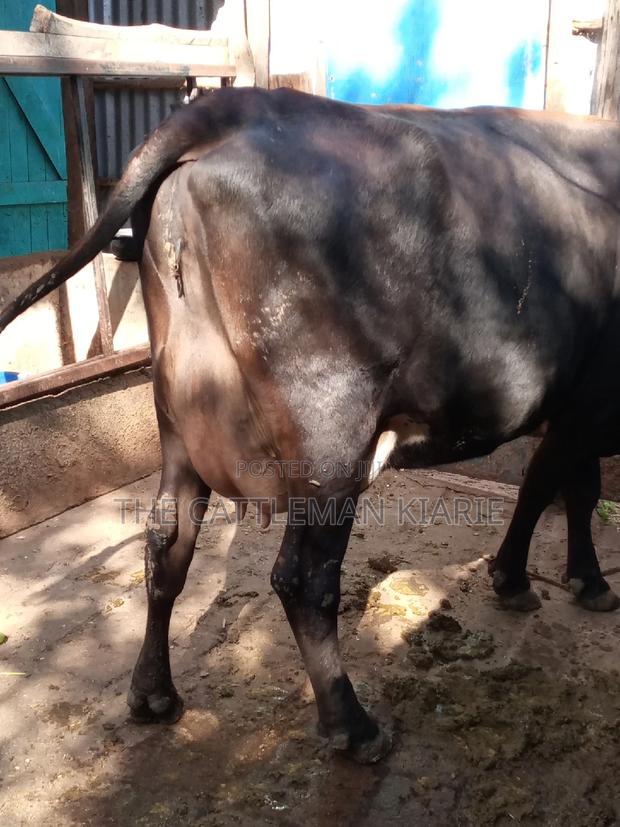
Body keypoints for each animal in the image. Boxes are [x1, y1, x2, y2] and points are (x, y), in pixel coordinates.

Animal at [1, 87, 619, 764]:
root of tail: (239, 106)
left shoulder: (578, 404)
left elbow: (560, 487)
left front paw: (539, 578)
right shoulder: (589, 400)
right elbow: (558, 487)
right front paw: (568, 580)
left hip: (178, 425)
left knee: (166, 545)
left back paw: (153, 693)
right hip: (330, 432)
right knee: (302, 578)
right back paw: (352, 724)